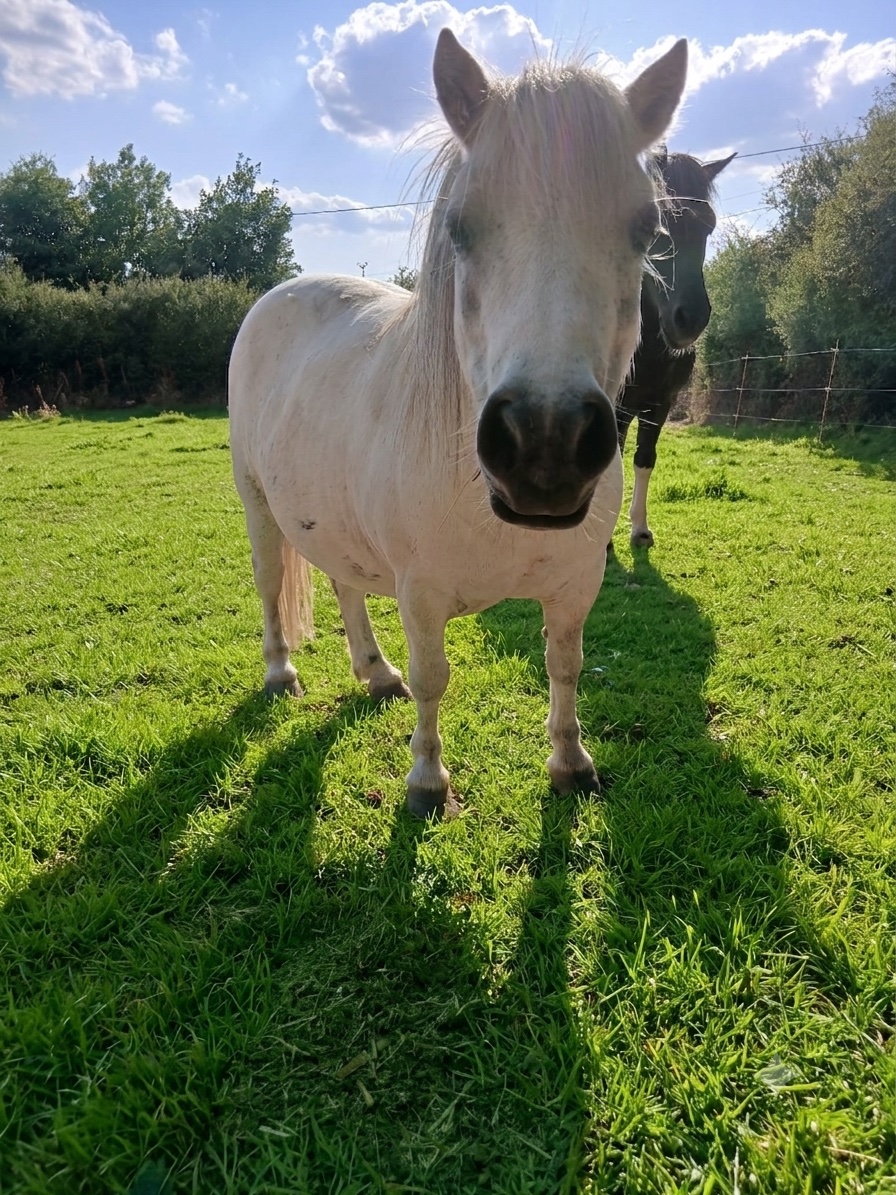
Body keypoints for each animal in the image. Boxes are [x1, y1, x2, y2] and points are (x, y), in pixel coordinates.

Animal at [229, 29, 687, 818]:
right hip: (258, 505)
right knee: (269, 582)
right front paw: (426, 781)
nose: (544, 445)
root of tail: (276, 296)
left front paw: (571, 762)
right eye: (460, 228)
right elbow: (434, 677)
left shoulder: (574, 586)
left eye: (646, 228)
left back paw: (374, 671)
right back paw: (281, 673)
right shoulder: (422, 593)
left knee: (347, 586)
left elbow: (565, 665)